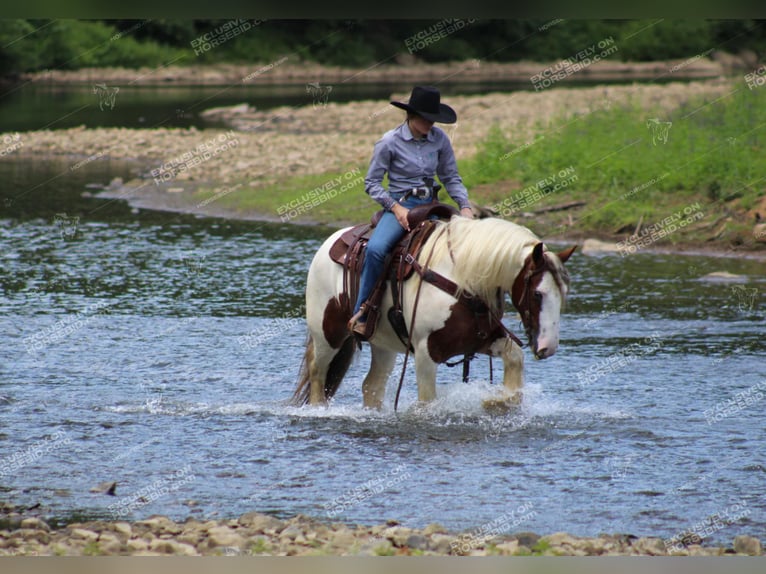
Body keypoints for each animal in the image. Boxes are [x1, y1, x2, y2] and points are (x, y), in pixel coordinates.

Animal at [292, 214, 576, 412]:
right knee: (318, 373)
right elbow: (427, 402)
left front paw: (496, 403)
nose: (548, 347)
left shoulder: (479, 340)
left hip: (383, 345)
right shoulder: (425, 353)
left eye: (563, 292)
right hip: (327, 335)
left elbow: (515, 361)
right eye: (537, 294)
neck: (462, 279)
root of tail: (330, 243)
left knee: (371, 385)